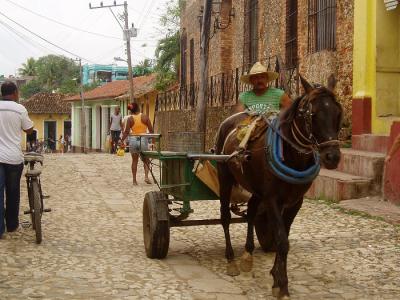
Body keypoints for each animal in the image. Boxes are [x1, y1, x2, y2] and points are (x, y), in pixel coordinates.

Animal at [216, 77, 344, 298]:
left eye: (338, 113)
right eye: (311, 115)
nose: (332, 157)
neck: (292, 155)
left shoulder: (295, 202)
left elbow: (282, 238)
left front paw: (276, 276)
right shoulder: (273, 199)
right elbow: (282, 241)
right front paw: (281, 284)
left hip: (256, 189)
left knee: (251, 213)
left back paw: (248, 254)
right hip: (225, 178)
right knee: (225, 217)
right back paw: (231, 259)